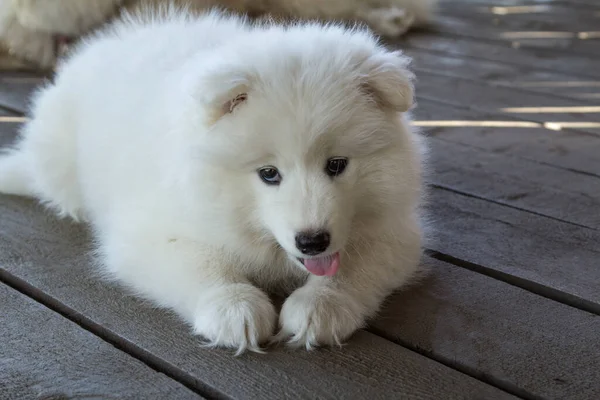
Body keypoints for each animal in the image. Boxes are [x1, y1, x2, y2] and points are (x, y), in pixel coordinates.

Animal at [0, 7, 426, 354]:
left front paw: (321, 306)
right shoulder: (149, 234)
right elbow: (202, 264)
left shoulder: (395, 232)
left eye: (337, 164)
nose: (312, 241)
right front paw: (235, 308)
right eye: (268, 173)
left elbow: (354, 266)